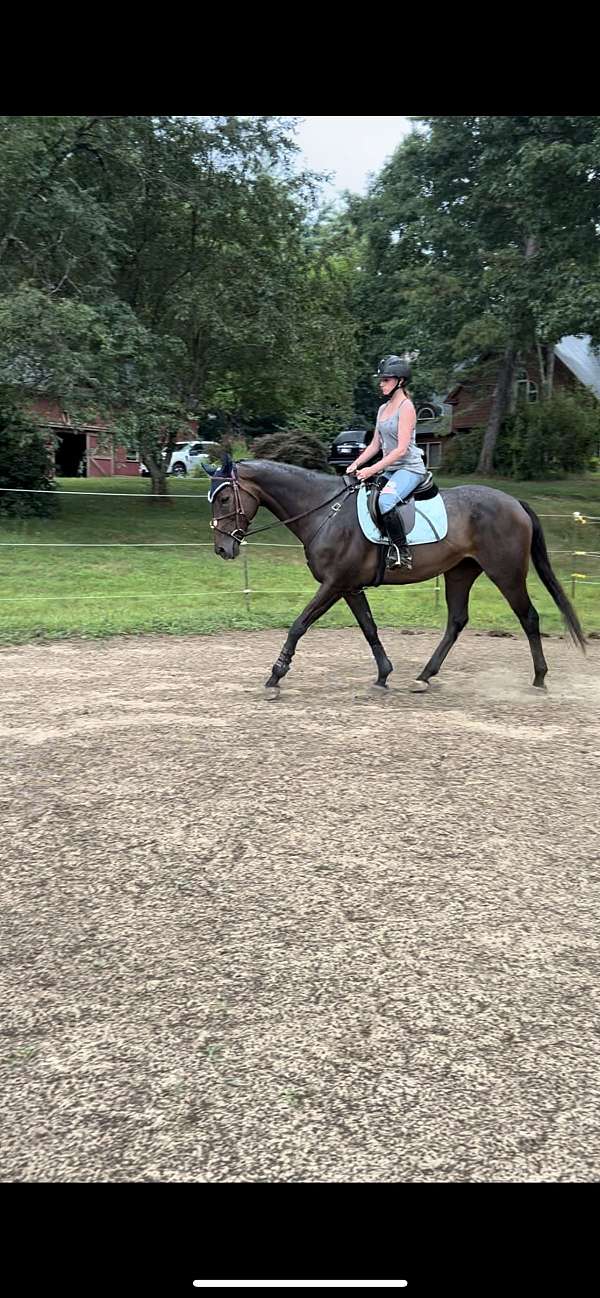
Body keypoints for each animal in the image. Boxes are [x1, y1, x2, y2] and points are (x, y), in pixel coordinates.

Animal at [206, 462, 587, 695]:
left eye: (224, 497)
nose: (223, 549)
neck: (325, 511)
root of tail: (514, 502)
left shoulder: (333, 584)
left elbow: (299, 625)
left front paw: (275, 675)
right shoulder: (349, 587)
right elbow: (369, 629)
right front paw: (383, 675)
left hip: (505, 573)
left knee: (529, 618)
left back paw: (539, 679)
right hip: (460, 573)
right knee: (456, 621)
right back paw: (424, 677)